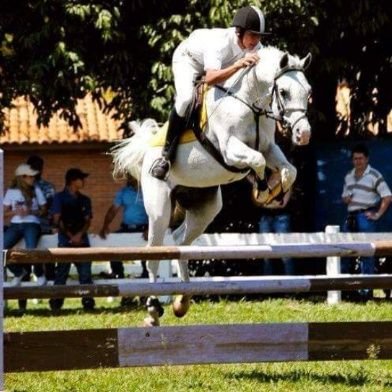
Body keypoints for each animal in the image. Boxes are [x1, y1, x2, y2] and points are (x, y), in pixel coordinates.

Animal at [111, 46, 312, 326]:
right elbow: (257, 161)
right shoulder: (230, 149)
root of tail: (148, 152)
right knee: (153, 254)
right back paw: (152, 311)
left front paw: (276, 190)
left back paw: (183, 299)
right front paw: (261, 188)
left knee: (180, 243)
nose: (303, 134)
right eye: (283, 92)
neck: (251, 104)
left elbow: (288, 170)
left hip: (204, 209)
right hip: (159, 208)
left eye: (309, 92)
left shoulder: (269, 147)